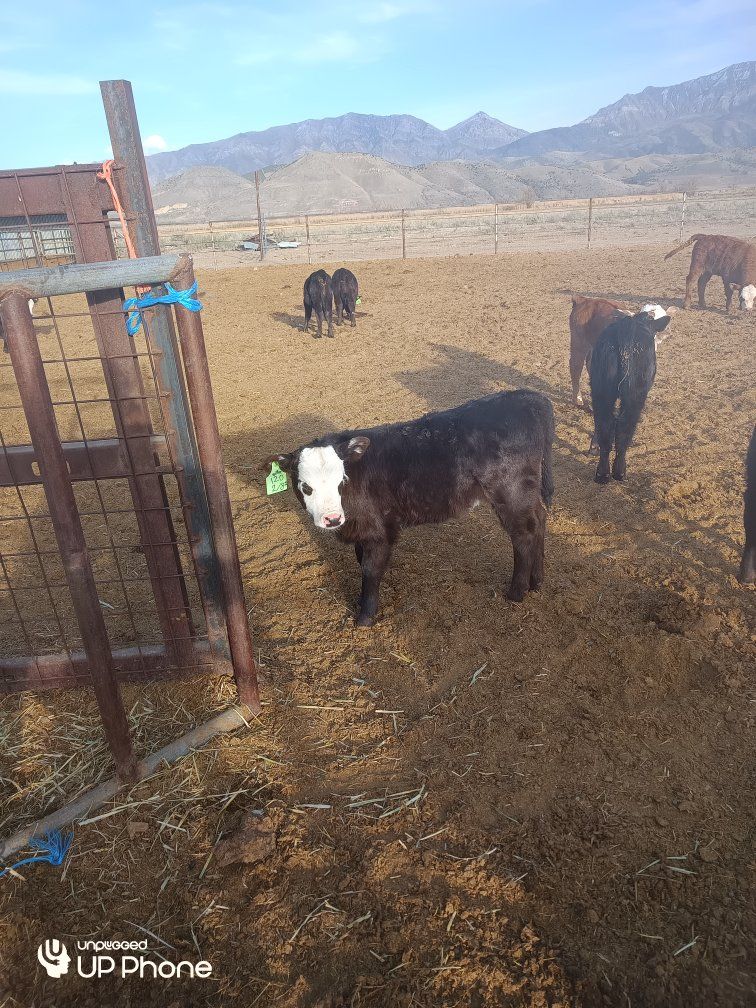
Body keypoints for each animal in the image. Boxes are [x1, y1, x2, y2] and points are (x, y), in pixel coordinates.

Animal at [263, 390, 555, 626]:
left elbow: (370, 569)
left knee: (523, 535)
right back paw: (537, 581)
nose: (332, 519)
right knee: (539, 520)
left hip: (511, 492)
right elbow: (360, 560)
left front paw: (365, 617)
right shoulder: (363, 529)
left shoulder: (379, 531)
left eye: (341, 479)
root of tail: (531, 398)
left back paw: (516, 592)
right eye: (305, 486)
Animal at [588, 307, 671, 484]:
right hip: (636, 394)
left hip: (601, 390)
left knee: (605, 425)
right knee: (625, 426)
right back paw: (620, 472)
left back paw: (602, 474)